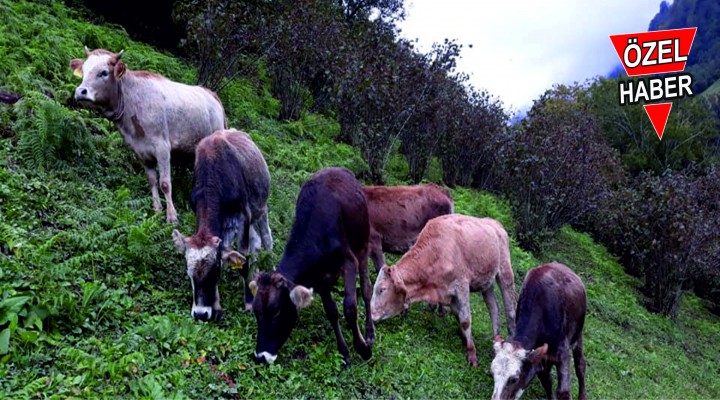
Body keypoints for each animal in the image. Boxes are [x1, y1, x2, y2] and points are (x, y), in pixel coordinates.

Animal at [69, 47, 225, 223]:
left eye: (104, 72)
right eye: (83, 70)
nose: (80, 91)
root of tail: (211, 94)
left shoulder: (162, 147)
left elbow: (165, 183)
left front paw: (172, 216)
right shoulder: (140, 151)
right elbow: (152, 181)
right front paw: (157, 210)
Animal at [170, 130, 272, 324]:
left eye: (214, 270)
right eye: (189, 273)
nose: (200, 314)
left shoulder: (244, 215)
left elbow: (243, 258)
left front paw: (249, 304)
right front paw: (216, 307)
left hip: (260, 210)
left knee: (267, 241)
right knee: (255, 243)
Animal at [249, 167, 374, 368]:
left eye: (276, 310)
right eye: (256, 311)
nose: (261, 356)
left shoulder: (349, 262)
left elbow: (350, 308)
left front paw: (363, 349)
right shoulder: (319, 278)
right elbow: (332, 311)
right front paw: (344, 353)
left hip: (362, 245)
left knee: (366, 289)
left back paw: (369, 333)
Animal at [372, 214, 516, 368]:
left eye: (382, 289)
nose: (372, 316)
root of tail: (494, 223)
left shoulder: (462, 285)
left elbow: (465, 320)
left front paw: (472, 356)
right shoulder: (448, 294)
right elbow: (458, 315)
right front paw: (464, 339)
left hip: (505, 272)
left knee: (510, 310)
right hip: (486, 282)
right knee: (494, 308)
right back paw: (496, 340)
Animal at [492, 262, 588, 400]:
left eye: (514, 379)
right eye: (492, 374)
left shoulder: (563, 353)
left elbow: (563, 392)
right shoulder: (540, 358)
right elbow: (547, 382)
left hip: (578, 335)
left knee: (580, 366)